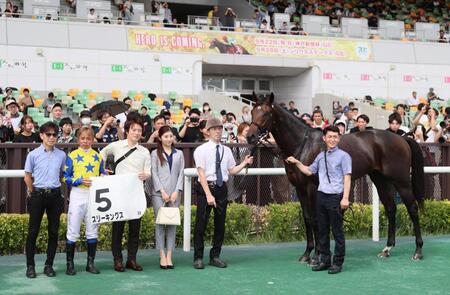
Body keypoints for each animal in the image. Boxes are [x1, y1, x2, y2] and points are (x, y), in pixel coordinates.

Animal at [246, 93, 426, 262]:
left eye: (266, 113)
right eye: (253, 111)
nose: (251, 136)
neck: (304, 145)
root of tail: (402, 138)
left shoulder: (312, 188)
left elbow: (315, 219)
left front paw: (317, 254)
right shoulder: (299, 189)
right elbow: (307, 218)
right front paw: (307, 253)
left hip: (401, 181)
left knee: (412, 208)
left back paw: (418, 251)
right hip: (381, 181)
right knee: (390, 209)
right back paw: (387, 248)